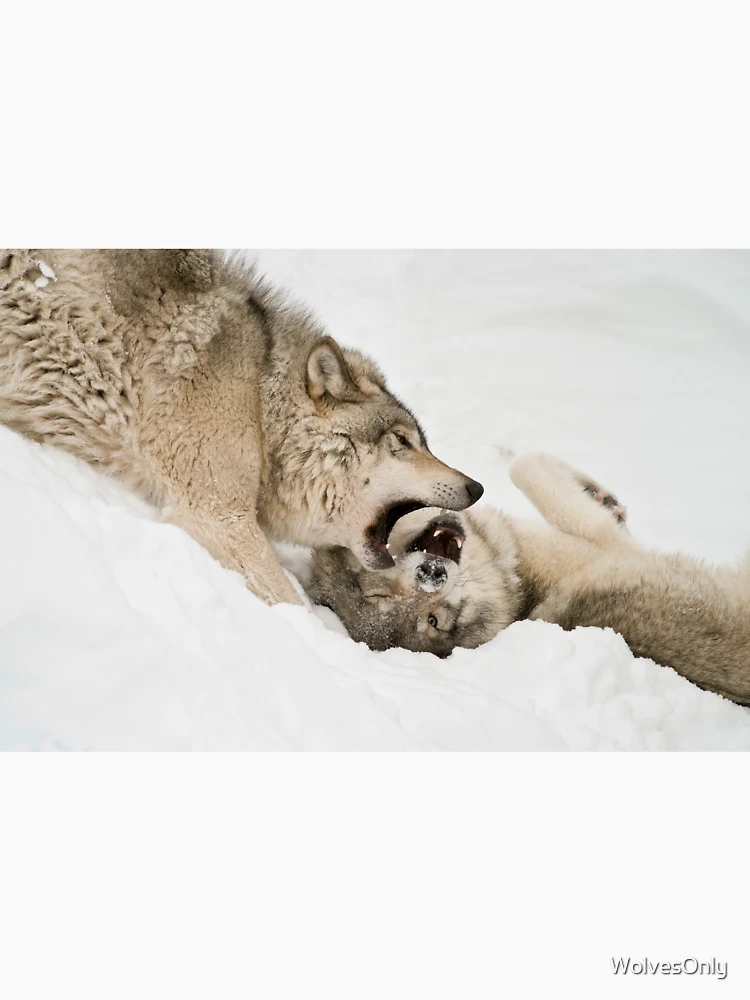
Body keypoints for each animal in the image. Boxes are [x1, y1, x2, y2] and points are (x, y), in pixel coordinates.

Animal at [0, 250, 483, 605]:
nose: (477, 487)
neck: (262, 403)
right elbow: (288, 599)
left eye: (422, 443)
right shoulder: (217, 514)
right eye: (402, 442)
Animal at [308, 452, 750, 705]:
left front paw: (606, 499)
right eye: (434, 621)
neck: (517, 580)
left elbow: (522, 467)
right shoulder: (603, 540)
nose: (431, 574)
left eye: (378, 590)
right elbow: (527, 466)